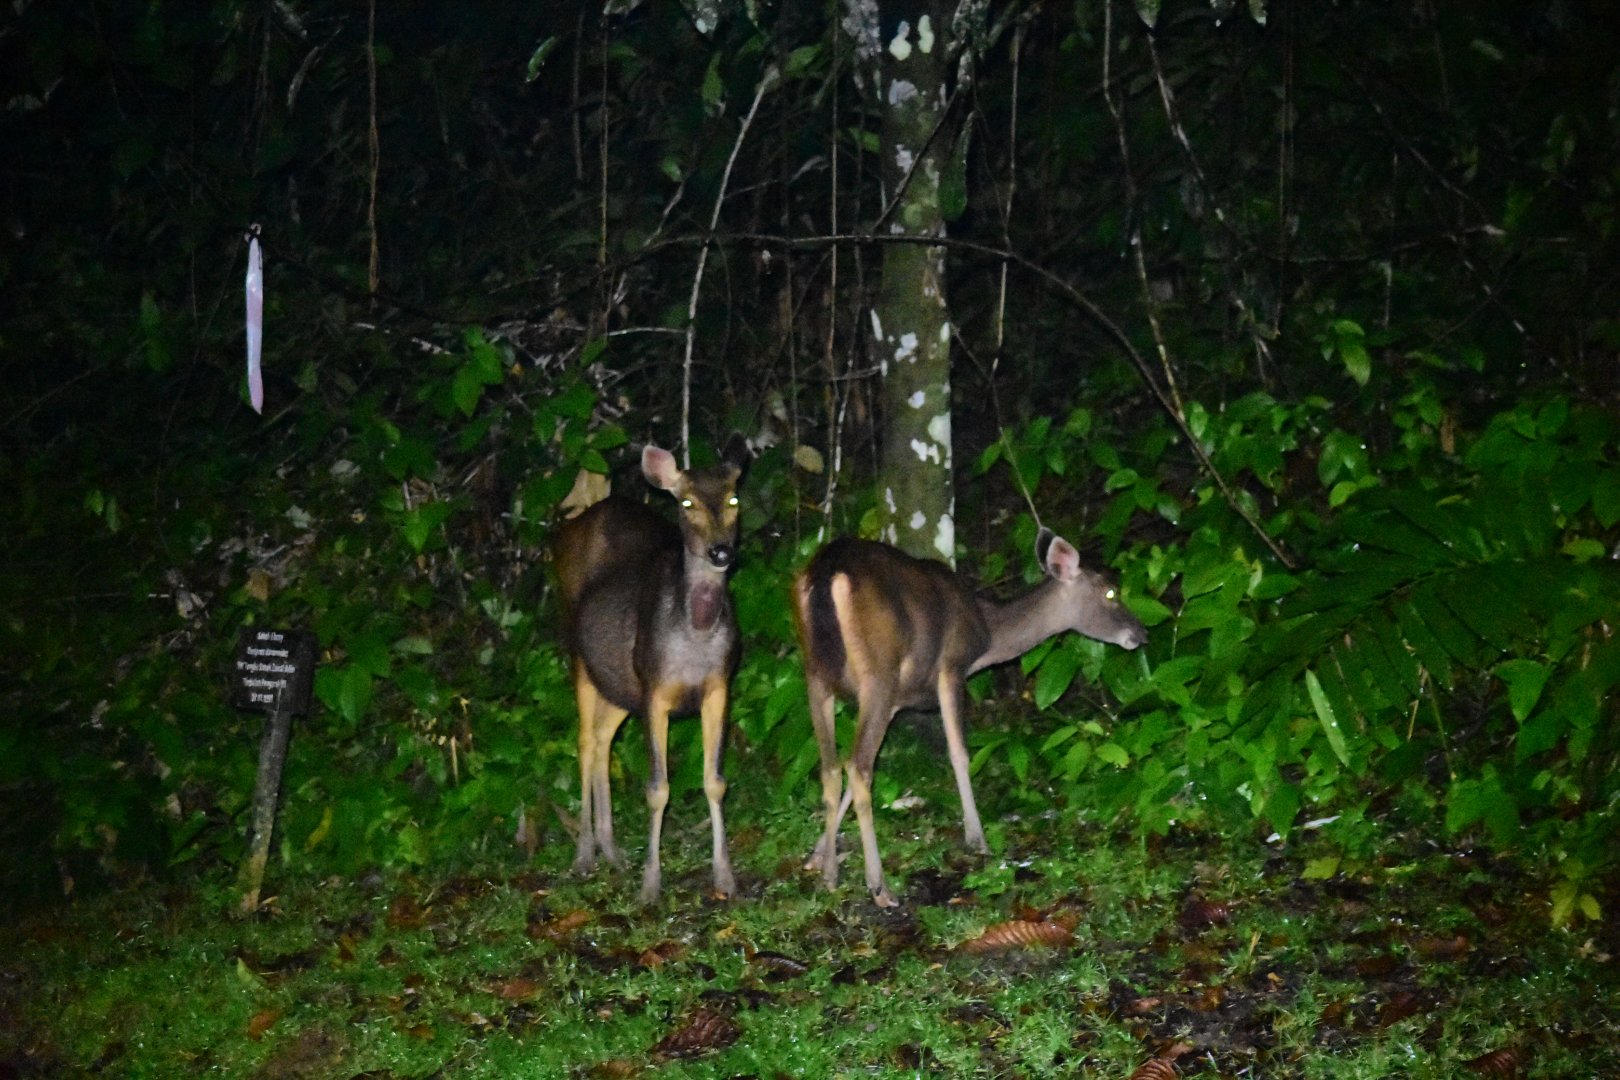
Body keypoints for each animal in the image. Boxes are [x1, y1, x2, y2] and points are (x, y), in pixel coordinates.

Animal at [553, 436, 748, 904]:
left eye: (733, 498)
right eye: (687, 501)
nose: (721, 552)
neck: (694, 637)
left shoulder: (718, 686)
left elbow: (715, 781)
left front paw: (725, 877)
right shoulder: (655, 689)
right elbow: (657, 789)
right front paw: (650, 884)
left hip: (620, 680)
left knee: (603, 739)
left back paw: (610, 848)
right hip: (578, 650)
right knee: (584, 741)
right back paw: (585, 854)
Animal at [792, 529, 1148, 907]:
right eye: (1111, 592)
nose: (1142, 633)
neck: (987, 633)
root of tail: (828, 572)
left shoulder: (898, 700)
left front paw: (817, 855)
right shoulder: (951, 668)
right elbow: (959, 754)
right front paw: (977, 839)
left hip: (816, 673)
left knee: (833, 766)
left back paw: (831, 874)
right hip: (878, 672)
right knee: (858, 767)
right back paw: (879, 885)